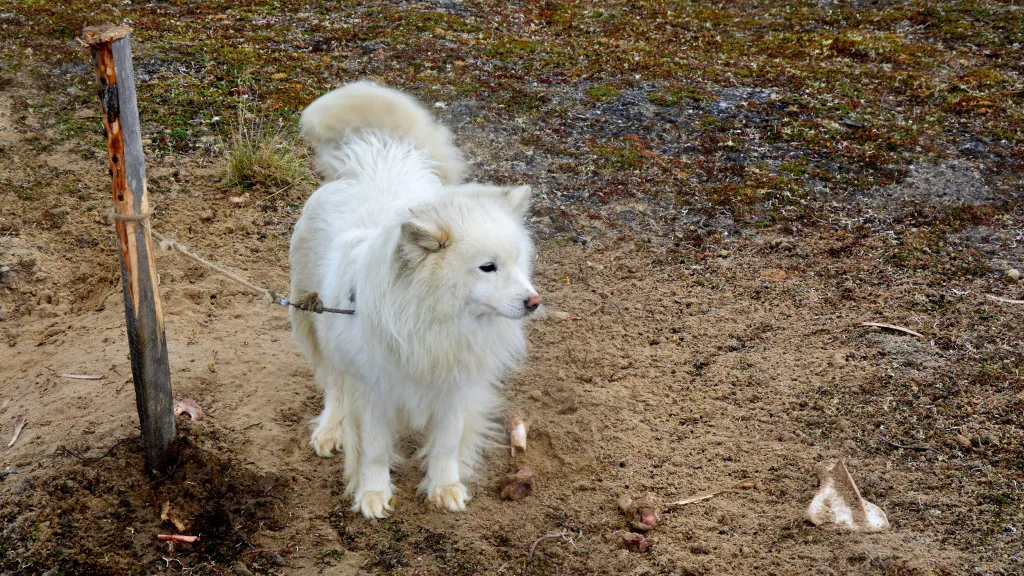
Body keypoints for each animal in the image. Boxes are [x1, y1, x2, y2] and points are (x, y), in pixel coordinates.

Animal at [290, 79, 544, 516]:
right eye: (487, 267)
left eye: (516, 263)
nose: (534, 301)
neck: (432, 320)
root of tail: (376, 156)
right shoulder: (372, 391)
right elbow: (374, 450)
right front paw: (372, 494)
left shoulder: (454, 390)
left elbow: (445, 445)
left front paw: (445, 488)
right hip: (318, 325)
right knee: (334, 385)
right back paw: (330, 430)